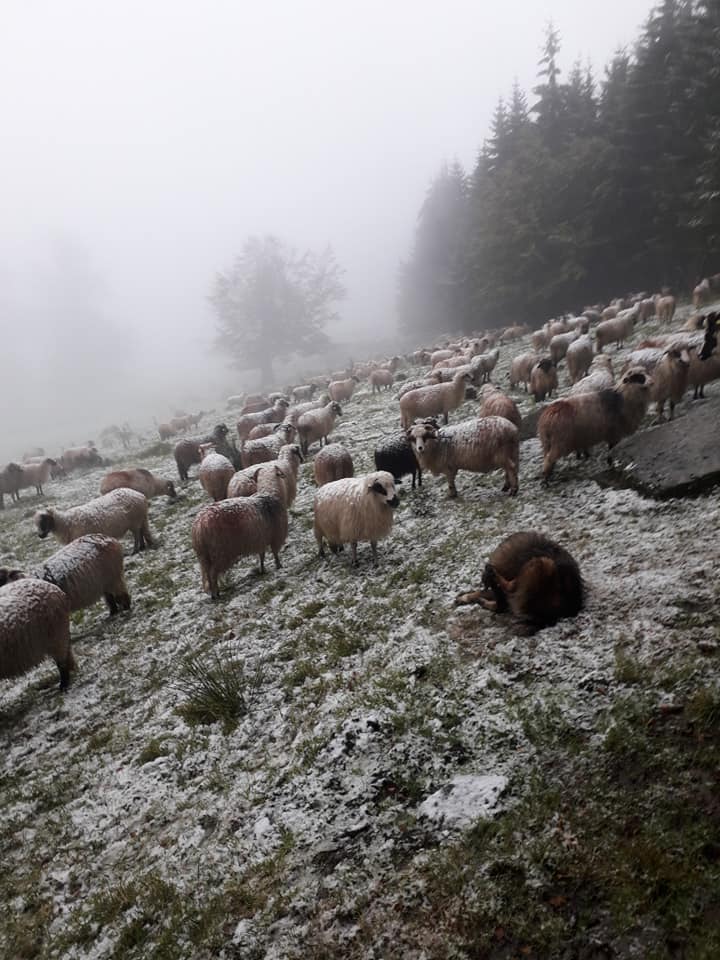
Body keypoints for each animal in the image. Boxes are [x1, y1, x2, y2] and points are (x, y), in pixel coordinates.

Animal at [194, 462, 292, 596]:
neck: (269, 493)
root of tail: (199, 525)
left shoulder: (260, 538)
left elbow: (262, 555)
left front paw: (262, 569)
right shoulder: (276, 535)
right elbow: (275, 552)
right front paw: (279, 566)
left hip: (204, 557)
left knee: (208, 574)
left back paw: (214, 594)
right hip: (219, 552)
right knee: (213, 574)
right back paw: (217, 594)